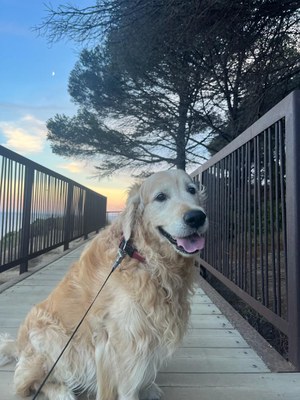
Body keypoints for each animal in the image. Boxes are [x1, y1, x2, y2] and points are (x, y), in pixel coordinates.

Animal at [0, 170, 206, 400]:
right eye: (161, 197)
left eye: (192, 190)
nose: (197, 217)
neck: (142, 256)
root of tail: (19, 346)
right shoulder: (125, 335)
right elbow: (128, 384)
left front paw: (147, 388)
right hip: (52, 337)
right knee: (28, 383)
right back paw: (61, 391)